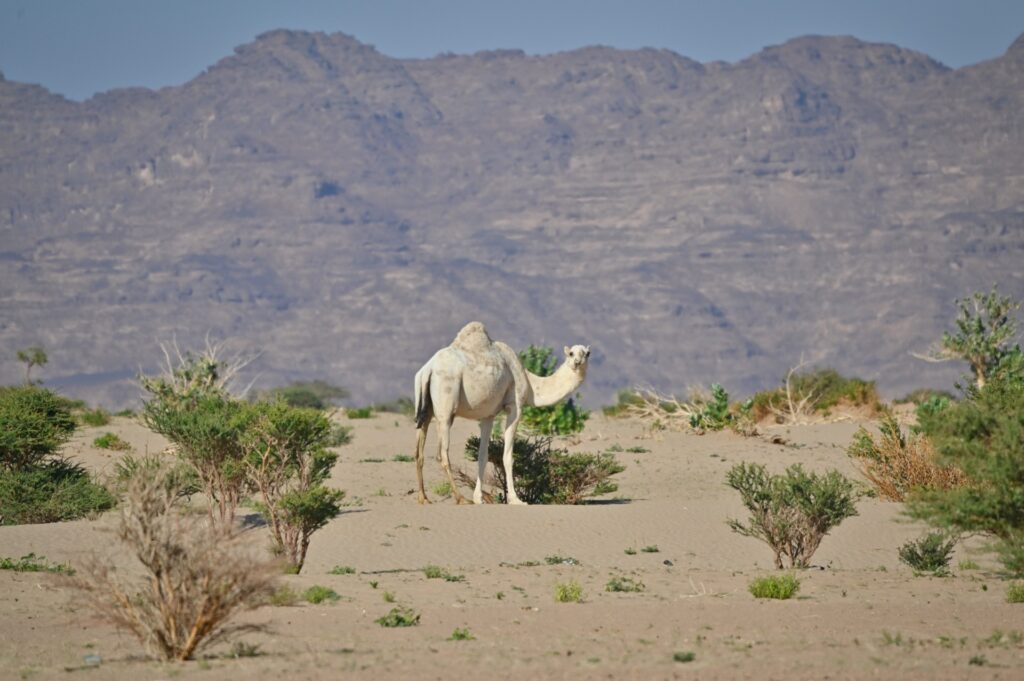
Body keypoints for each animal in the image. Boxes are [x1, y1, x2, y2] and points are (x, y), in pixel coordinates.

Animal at [413, 319, 593, 503]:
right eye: (571, 353)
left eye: (587, 353)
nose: (577, 362)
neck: (530, 384)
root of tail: (428, 369)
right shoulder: (515, 406)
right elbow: (507, 456)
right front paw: (515, 499)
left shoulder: (488, 414)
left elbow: (483, 455)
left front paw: (479, 498)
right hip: (446, 406)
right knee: (441, 453)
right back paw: (461, 498)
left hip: (424, 408)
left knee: (418, 451)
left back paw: (423, 498)